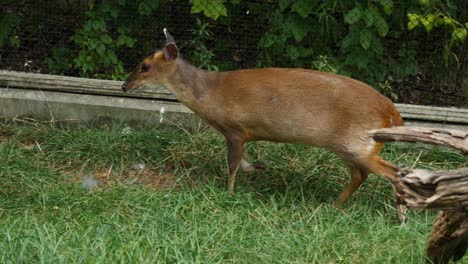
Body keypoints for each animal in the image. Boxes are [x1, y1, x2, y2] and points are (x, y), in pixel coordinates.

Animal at [122, 28, 408, 222]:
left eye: (144, 66)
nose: (125, 86)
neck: (208, 93)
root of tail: (393, 114)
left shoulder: (234, 129)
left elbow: (232, 165)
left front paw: (229, 194)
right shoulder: (240, 133)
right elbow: (242, 161)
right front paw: (258, 167)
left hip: (356, 142)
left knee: (395, 172)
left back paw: (401, 216)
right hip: (351, 145)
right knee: (362, 175)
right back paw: (335, 205)